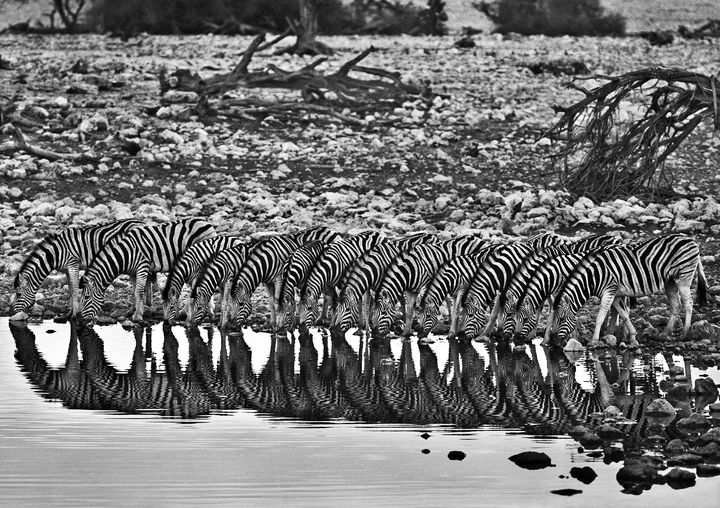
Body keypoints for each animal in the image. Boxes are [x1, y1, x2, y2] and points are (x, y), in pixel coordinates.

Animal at [10, 218, 141, 318]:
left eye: (19, 294)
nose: (12, 312)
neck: (56, 253)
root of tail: (139, 221)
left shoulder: (73, 264)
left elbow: (74, 289)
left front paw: (75, 313)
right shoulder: (66, 270)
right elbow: (70, 289)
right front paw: (70, 312)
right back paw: (133, 311)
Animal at [79, 217, 215, 322]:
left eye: (86, 297)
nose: (80, 320)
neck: (126, 253)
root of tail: (205, 222)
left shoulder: (142, 266)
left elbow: (139, 291)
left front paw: (137, 316)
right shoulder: (132, 272)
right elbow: (135, 292)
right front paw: (133, 311)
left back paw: (187, 312)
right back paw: (208, 310)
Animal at [552, 233, 708, 346]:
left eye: (562, 318)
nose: (557, 342)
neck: (594, 276)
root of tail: (691, 240)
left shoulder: (609, 290)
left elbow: (600, 316)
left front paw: (594, 340)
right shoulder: (615, 293)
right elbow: (624, 315)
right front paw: (632, 337)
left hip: (684, 277)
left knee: (688, 304)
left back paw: (684, 333)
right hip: (670, 281)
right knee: (676, 305)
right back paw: (665, 334)